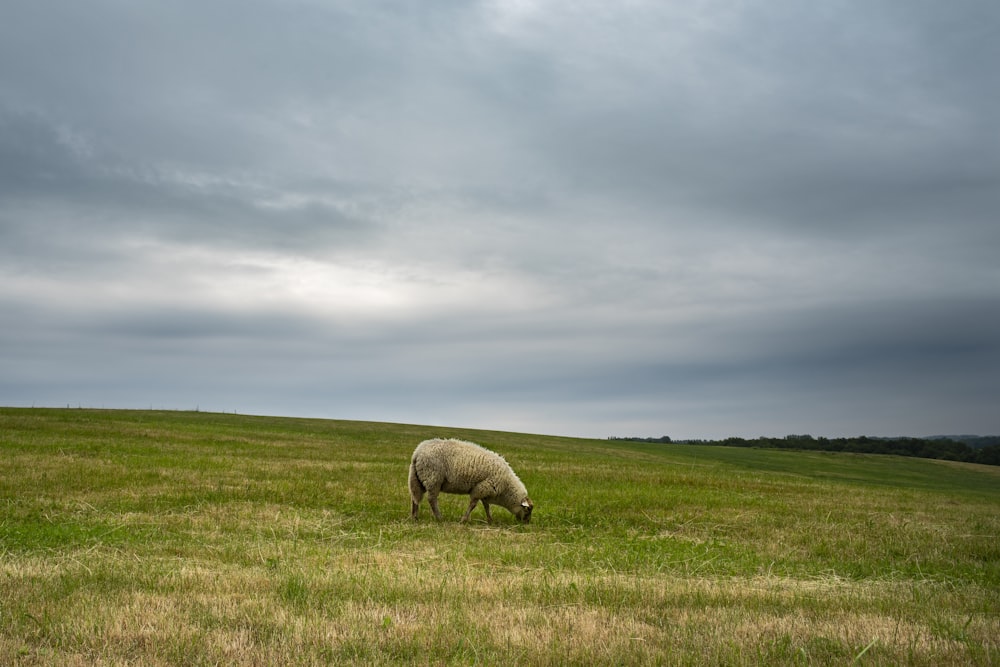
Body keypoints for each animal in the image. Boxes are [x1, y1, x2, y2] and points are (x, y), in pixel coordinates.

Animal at [408, 440, 536, 524]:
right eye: (528, 510)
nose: (526, 523)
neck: (506, 488)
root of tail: (417, 452)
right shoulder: (481, 489)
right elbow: (473, 505)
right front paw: (463, 520)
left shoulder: (486, 489)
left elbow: (486, 506)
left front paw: (490, 520)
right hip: (433, 479)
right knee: (431, 499)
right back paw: (439, 518)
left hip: (418, 479)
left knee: (415, 497)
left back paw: (415, 517)